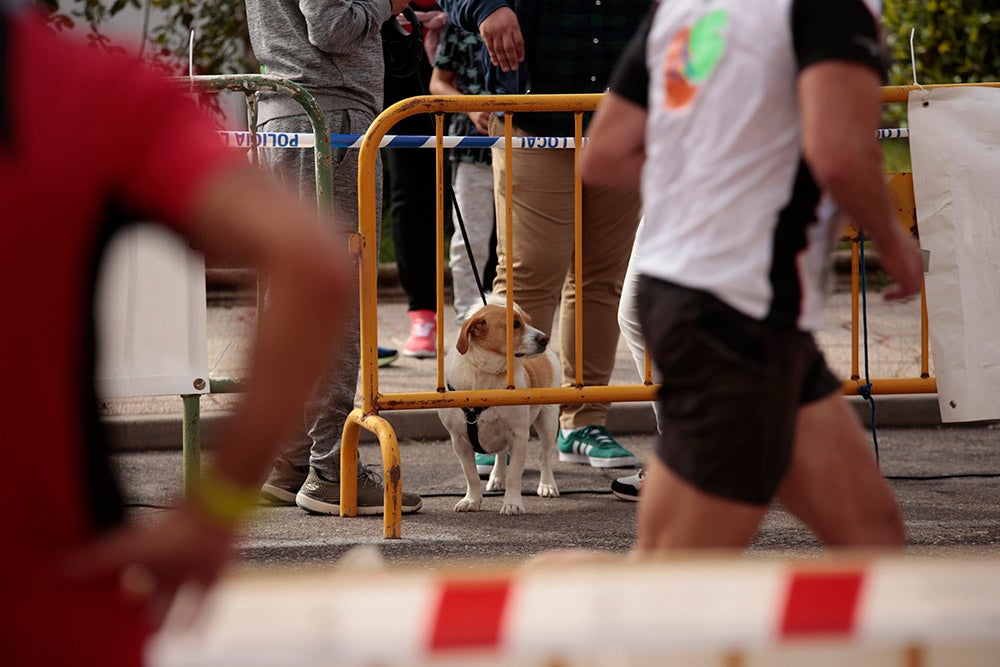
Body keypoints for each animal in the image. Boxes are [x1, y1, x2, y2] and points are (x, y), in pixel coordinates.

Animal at [440, 298, 560, 516]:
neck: (488, 374)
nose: (545, 339)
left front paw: (512, 503)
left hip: (548, 421)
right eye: (515, 324)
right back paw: (497, 477)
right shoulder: (459, 441)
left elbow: (514, 475)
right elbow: (471, 475)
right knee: (502, 453)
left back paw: (547, 485)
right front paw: (472, 500)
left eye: (529, 321)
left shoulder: (519, 436)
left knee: (545, 455)